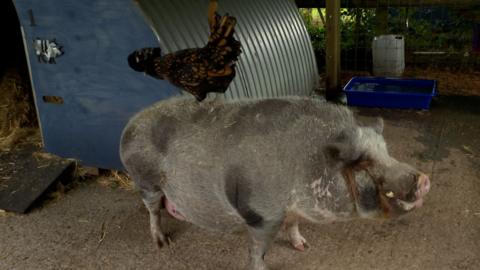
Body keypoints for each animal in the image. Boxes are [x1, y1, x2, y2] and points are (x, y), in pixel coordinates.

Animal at [120, 96, 432, 268]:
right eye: (363, 162)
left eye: (386, 152)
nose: (424, 178)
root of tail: (130, 124)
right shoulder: (261, 214)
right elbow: (258, 251)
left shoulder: (293, 209)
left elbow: (293, 225)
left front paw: (304, 247)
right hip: (145, 180)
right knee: (152, 210)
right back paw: (162, 243)